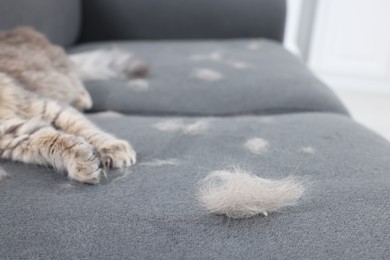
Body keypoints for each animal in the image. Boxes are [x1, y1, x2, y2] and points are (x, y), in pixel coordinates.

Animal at [0, 26, 148, 183]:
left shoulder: (47, 107)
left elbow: (85, 129)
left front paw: (113, 148)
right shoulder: (13, 136)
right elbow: (55, 141)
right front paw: (83, 163)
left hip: (65, 75)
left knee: (79, 83)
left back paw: (83, 100)